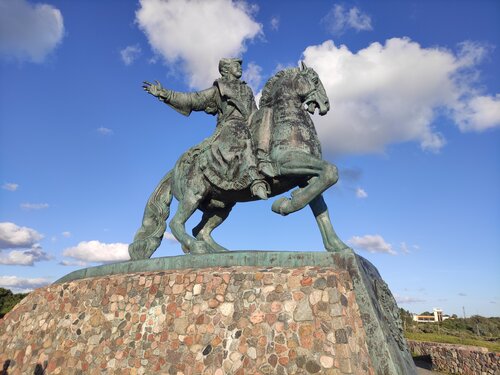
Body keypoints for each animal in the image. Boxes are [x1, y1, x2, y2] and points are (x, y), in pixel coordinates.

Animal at [129, 63, 348, 260]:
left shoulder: (306, 177)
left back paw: (219, 252)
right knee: (177, 223)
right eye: (315, 79)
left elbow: (321, 204)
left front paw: (338, 246)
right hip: (194, 195)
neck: (287, 121)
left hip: (221, 205)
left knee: (200, 230)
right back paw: (197, 248)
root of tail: (176, 167)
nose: (326, 104)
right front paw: (284, 205)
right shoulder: (287, 163)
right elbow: (331, 173)